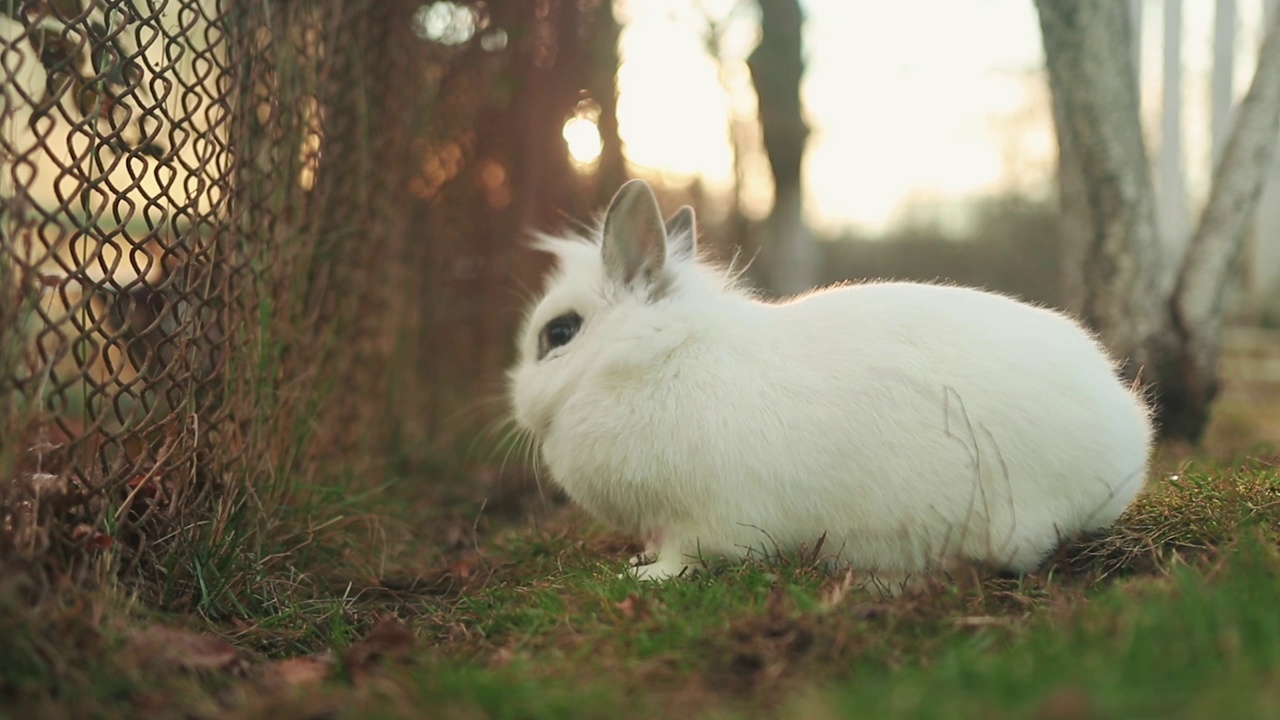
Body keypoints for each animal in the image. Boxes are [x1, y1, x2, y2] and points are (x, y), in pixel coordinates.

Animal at [504, 179, 1157, 584]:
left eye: (559, 334)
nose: (517, 402)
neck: (655, 356)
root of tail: (1125, 453)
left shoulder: (702, 523)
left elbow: (687, 556)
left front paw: (644, 576)